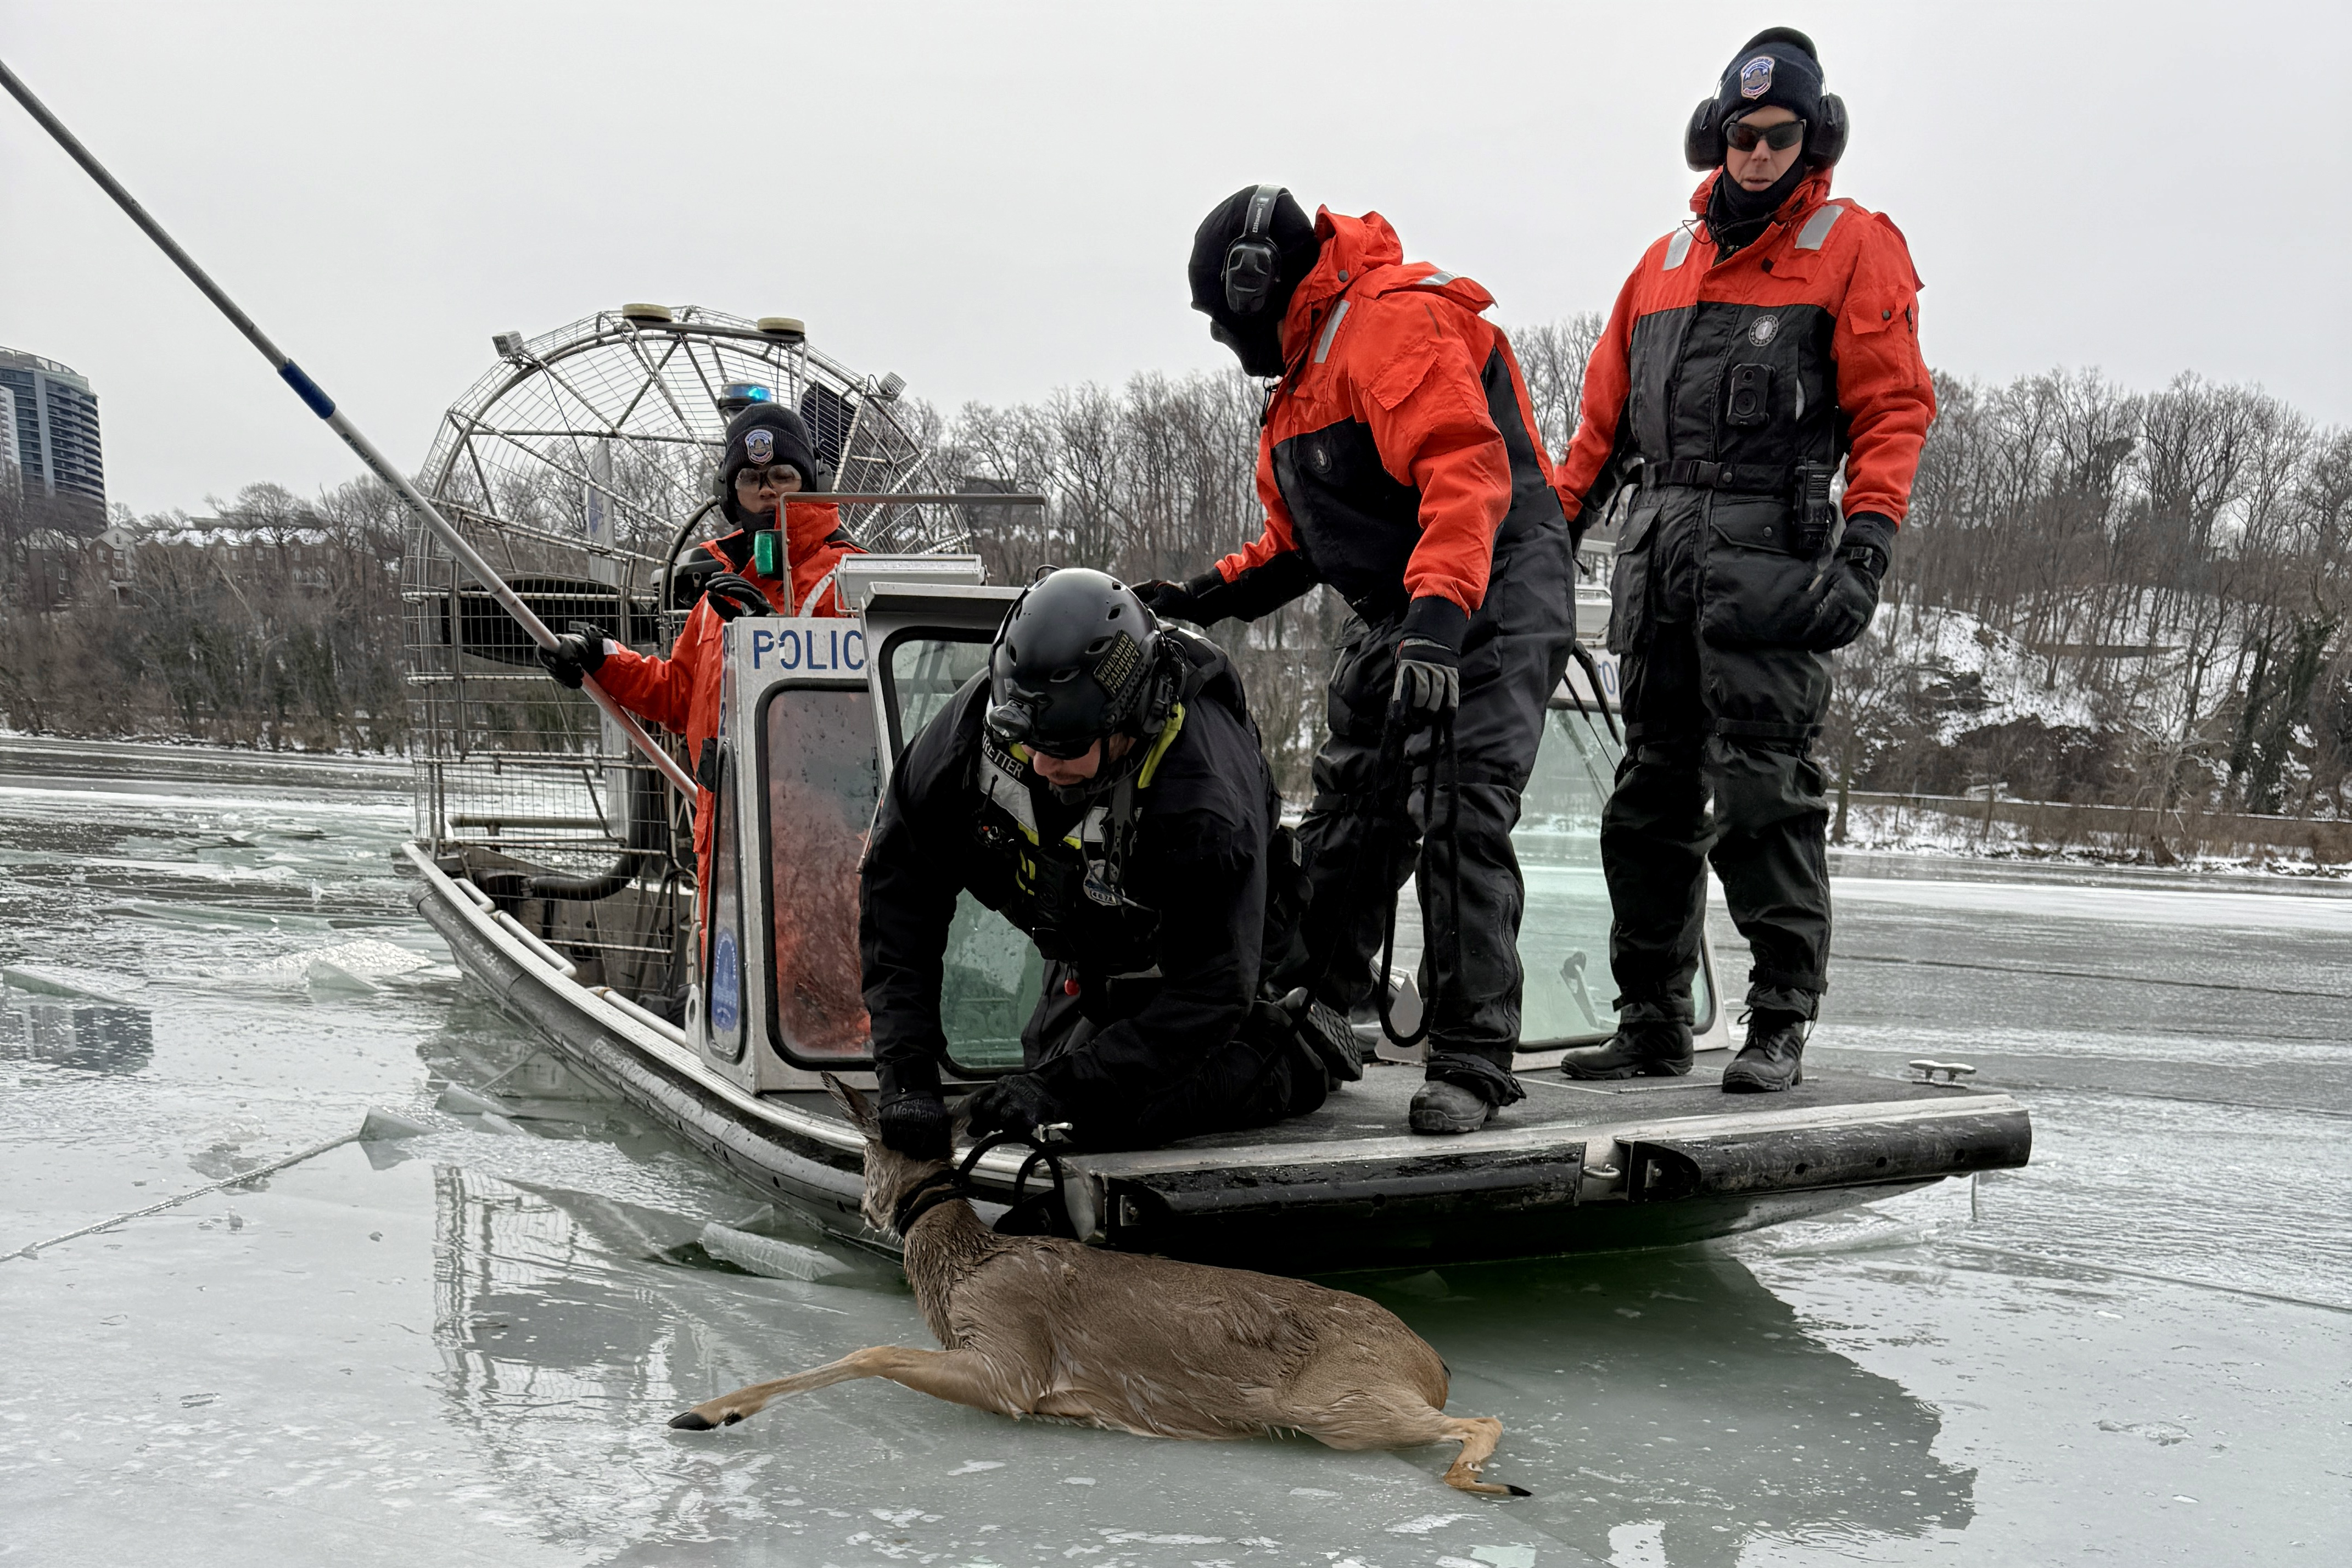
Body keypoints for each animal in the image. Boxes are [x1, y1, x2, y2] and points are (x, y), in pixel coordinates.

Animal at [667, 1075, 1527, 1497]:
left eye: (869, 1151)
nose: (870, 1208)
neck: (966, 1268)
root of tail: (1430, 1362)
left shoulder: (1011, 1364)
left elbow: (870, 1350)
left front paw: (709, 1410)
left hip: (1339, 1404)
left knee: (1482, 1419)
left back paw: (1478, 1484)